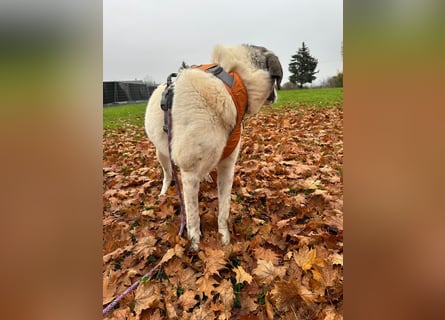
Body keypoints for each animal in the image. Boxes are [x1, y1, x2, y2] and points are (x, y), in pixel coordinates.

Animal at [144, 44, 280, 250]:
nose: (277, 95)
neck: (231, 86)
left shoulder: (227, 167)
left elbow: (224, 209)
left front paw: (224, 238)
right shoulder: (189, 173)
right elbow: (192, 217)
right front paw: (194, 244)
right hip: (162, 155)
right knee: (167, 175)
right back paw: (164, 192)